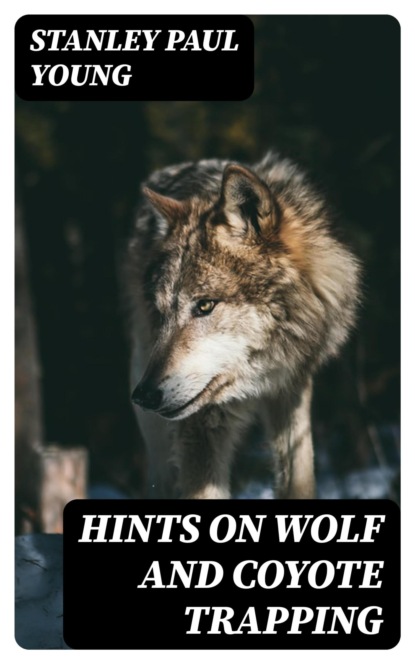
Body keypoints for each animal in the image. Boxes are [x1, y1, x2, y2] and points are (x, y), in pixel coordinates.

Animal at [124, 153, 361, 499]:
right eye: (162, 313)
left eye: (205, 305)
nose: (143, 396)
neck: (255, 379)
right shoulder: (201, 426)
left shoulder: (292, 391)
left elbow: (299, 480)